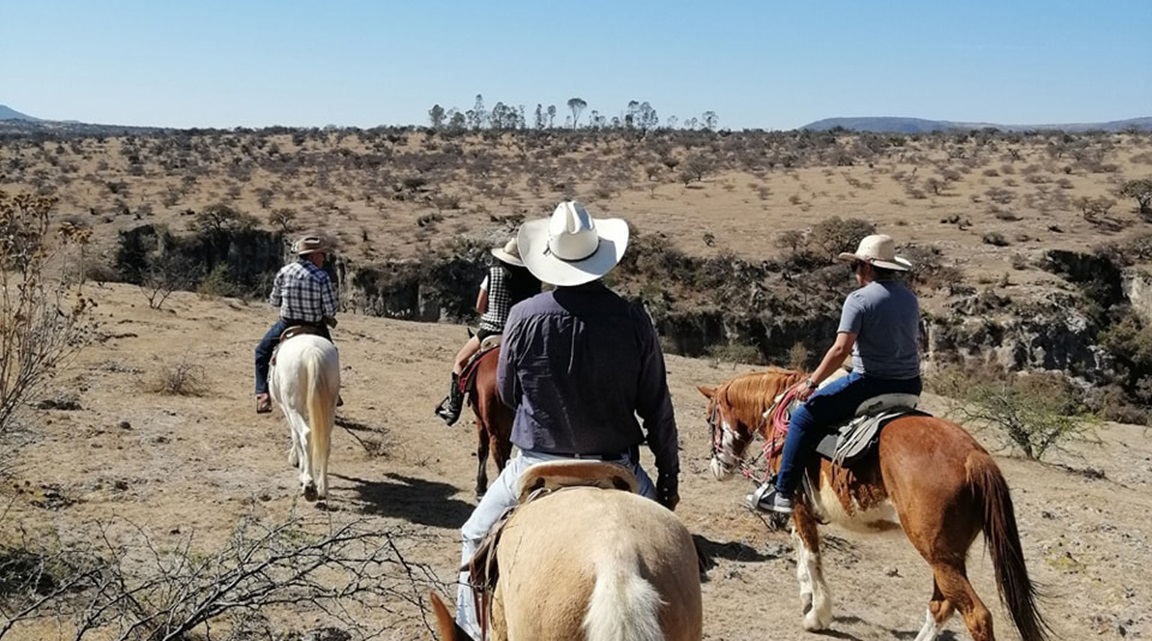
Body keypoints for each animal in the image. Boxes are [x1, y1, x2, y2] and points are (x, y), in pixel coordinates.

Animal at [268, 332, 338, 502]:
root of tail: (311, 351)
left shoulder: (286, 408)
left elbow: (295, 435)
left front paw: (297, 462)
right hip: (329, 407)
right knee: (325, 441)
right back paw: (322, 487)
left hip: (293, 406)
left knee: (306, 434)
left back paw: (309, 483)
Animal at [695, 368, 1050, 641]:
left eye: (710, 419)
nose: (717, 468)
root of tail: (974, 457)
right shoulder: (800, 511)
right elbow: (800, 549)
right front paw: (807, 596)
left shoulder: (796, 503)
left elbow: (811, 554)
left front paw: (817, 615)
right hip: (948, 555)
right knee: (942, 605)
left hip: (939, 555)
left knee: (976, 615)